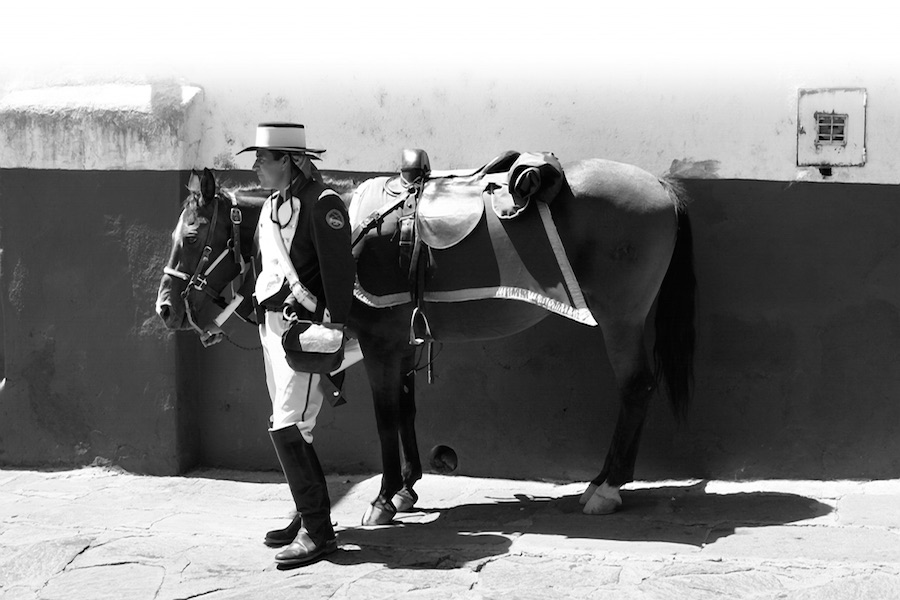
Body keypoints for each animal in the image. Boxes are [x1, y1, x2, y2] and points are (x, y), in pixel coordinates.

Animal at [156, 158, 696, 524]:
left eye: (192, 235)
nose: (165, 308)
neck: (343, 233)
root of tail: (661, 185)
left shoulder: (380, 345)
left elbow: (384, 417)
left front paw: (382, 498)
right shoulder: (405, 341)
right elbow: (407, 410)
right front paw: (407, 487)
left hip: (621, 318)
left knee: (636, 387)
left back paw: (607, 487)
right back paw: (608, 481)